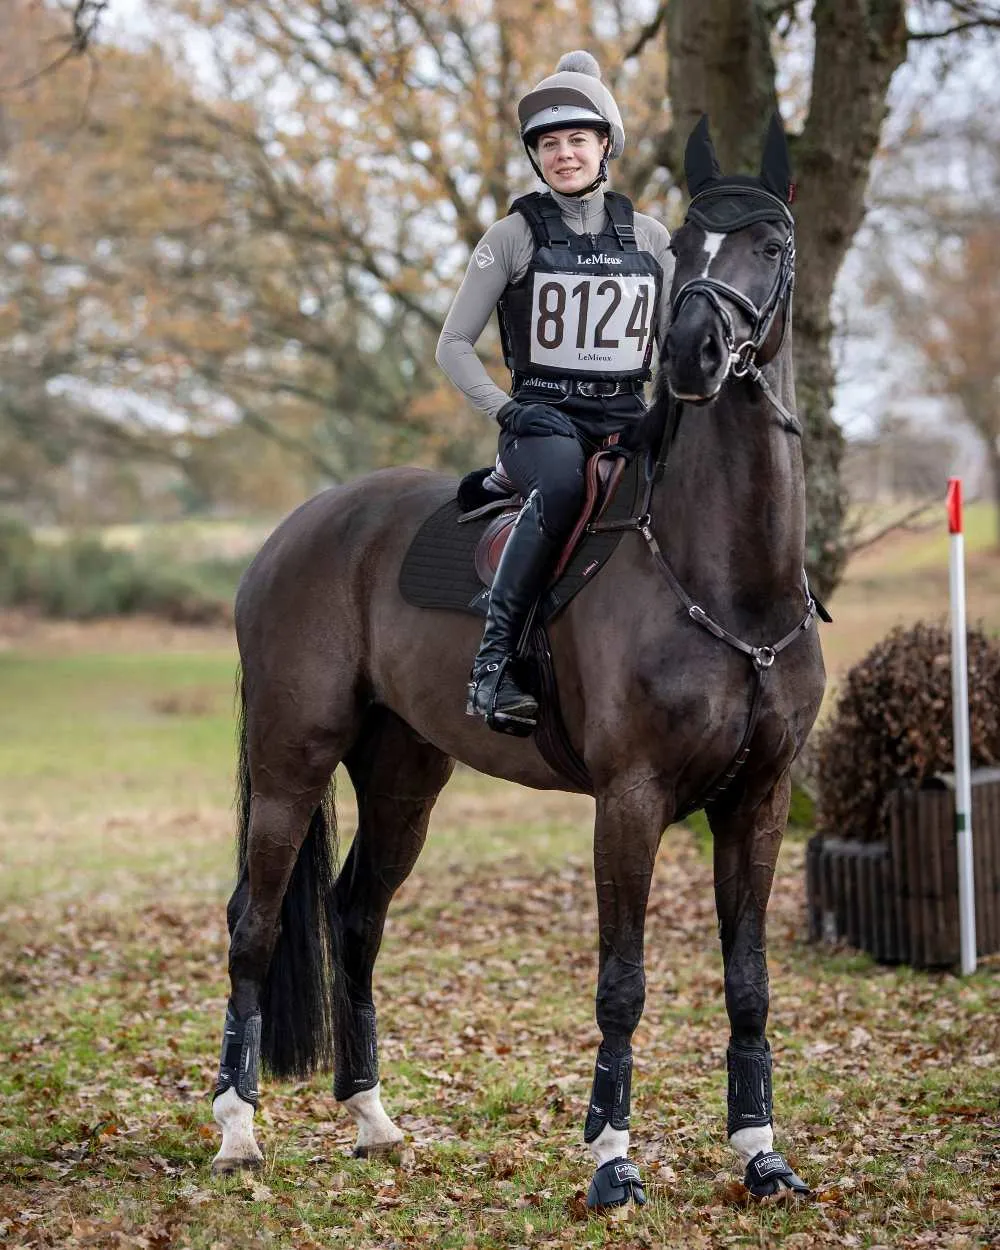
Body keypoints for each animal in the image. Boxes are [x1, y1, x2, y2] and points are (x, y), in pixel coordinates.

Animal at [208, 119, 820, 1210]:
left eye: (771, 242)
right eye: (686, 247)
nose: (694, 352)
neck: (732, 578)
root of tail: (290, 533)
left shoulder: (759, 798)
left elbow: (748, 980)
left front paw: (761, 1154)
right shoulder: (630, 798)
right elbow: (622, 981)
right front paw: (611, 1158)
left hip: (404, 774)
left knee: (355, 915)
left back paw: (371, 1119)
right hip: (291, 761)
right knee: (257, 920)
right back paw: (238, 1130)